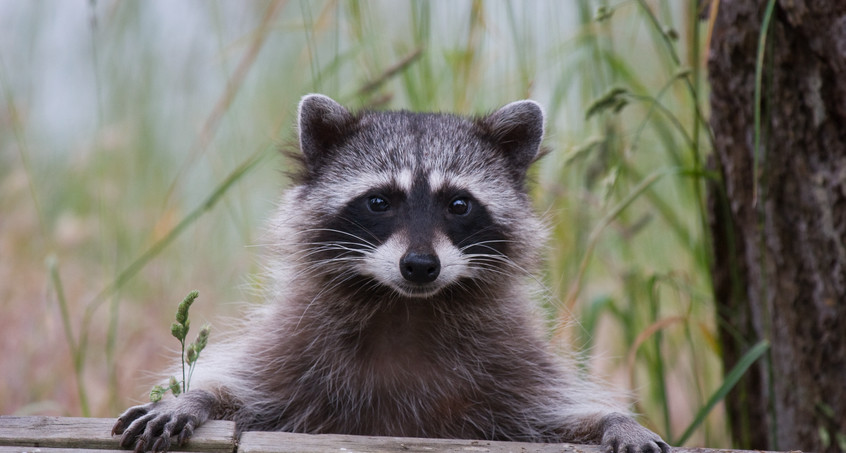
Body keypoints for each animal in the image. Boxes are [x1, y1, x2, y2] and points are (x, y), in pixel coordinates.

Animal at [112, 92, 672, 452]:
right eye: (379, 201)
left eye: (459, 204)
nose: (421, 266)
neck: (406, 307)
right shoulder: (296, 346)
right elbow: (249, 390)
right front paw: (196, 396)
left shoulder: (511, 364)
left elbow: (551, 416)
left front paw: (614, 420)